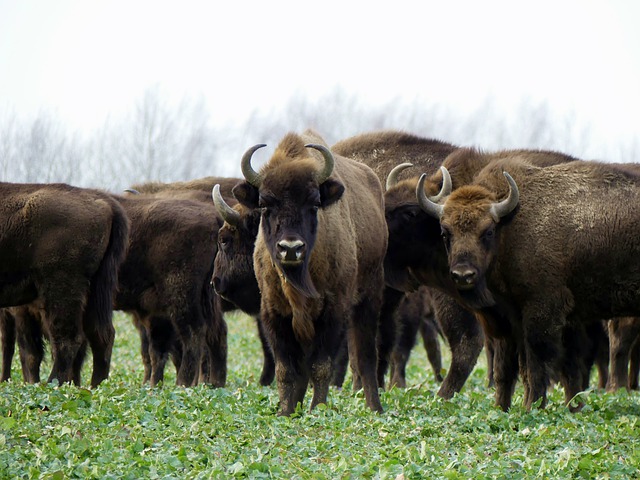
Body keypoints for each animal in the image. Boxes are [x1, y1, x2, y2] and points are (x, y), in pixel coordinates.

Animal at [0, 183, 129, 386]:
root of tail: (105, 202)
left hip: (61, 288)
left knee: (67, 339)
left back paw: (51, 386)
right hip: (95, 290)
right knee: (101, 335)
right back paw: (95, 386)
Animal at [232, 131, 388, 416]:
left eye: (315, 204)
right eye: (264, 205)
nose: (290, 248)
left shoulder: (333, 310)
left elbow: (321, 365)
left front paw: (319, 409)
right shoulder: (274, 312)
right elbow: (286, 369)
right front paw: (285, 411)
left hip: (369, 297)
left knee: (366, 356)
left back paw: (375, 408)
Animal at [418, 156, 640, 410]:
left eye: (488, 231)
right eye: (446, 233)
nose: (463, 275)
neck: (511, 226)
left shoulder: (541, 312)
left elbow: (537, 364)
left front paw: (532, 407)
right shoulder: (513, 320)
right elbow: (512, 368)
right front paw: (504, 408)